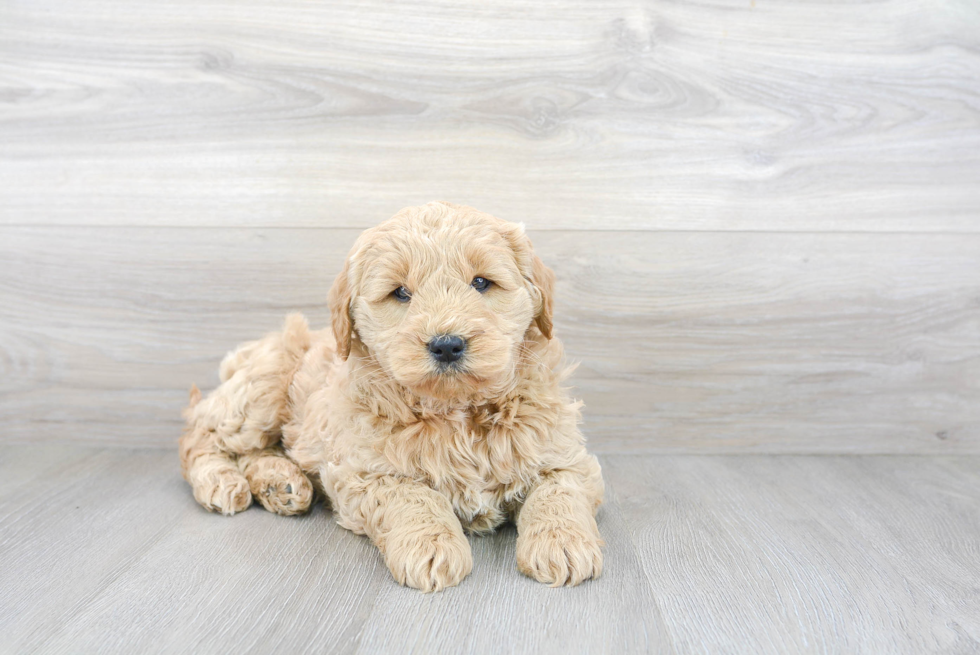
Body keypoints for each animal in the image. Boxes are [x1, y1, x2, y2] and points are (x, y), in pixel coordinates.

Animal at [179, 202, 600, 592]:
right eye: (400, 293)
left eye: (481, 283)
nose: (447, 345)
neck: (457, 412)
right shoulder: (365, 472)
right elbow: (411, 495)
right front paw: (432, 546)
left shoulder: (566, 457)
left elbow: (558, 491)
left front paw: (562, 543)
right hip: (262, 388)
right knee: (200, 436)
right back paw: (222, 481)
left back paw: (279, 483)